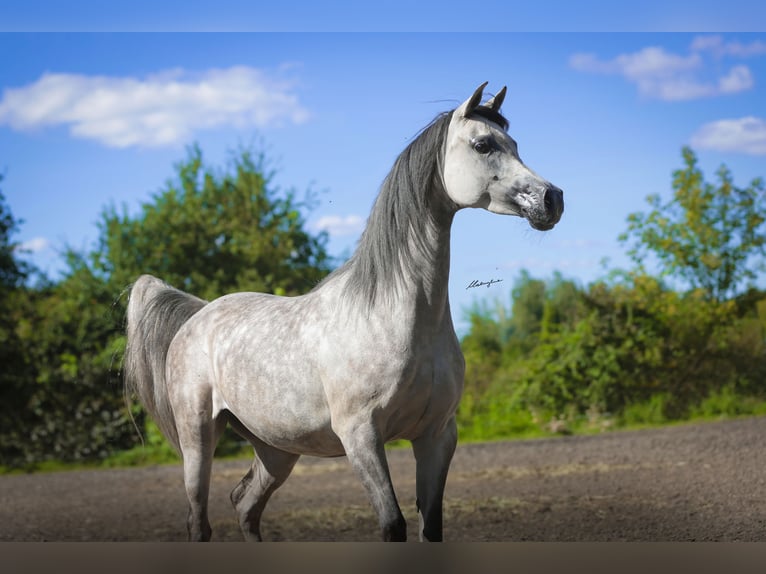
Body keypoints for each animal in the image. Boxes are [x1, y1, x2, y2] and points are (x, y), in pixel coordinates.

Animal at [124, 82, 564, 542]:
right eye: (483, 145)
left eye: (514, 144)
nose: (552, 198)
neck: (397, 319)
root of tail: (199, 315)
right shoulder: (361, 437)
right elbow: (393, 524)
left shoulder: (437, 436)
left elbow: (431, 526)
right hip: (197, 437)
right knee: (199, 520)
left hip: (276, 449)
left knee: (244, 505)